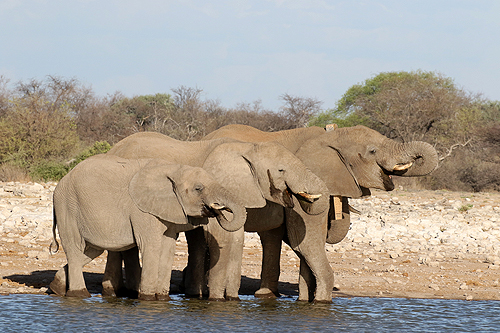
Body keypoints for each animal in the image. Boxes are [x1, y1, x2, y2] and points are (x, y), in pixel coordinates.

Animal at [48, 154, 248, 300]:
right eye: (198, 188)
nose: (217, 210)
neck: (175, 169)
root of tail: (61, 182)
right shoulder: (142, 211)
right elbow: (150, 245)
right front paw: (148, 299)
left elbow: (168, 247)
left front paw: (162, 298)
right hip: (67, 207)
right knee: (74, 248)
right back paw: (79, 294)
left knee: (91, 251)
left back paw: (56, 287)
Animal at [103, 132, 330, 300]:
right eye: (281, 170)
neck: (247, 148)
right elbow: (221, 238)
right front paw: (217, 300)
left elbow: (236, 240)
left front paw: (231, 299)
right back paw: (113, 292)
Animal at [199, 123, 438, 300]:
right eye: (372, 151)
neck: (331, 136)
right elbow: (304, 241)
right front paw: (321, 302)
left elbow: (310, 242)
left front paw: (306, 300)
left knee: (270, 236)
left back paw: (266, 294)